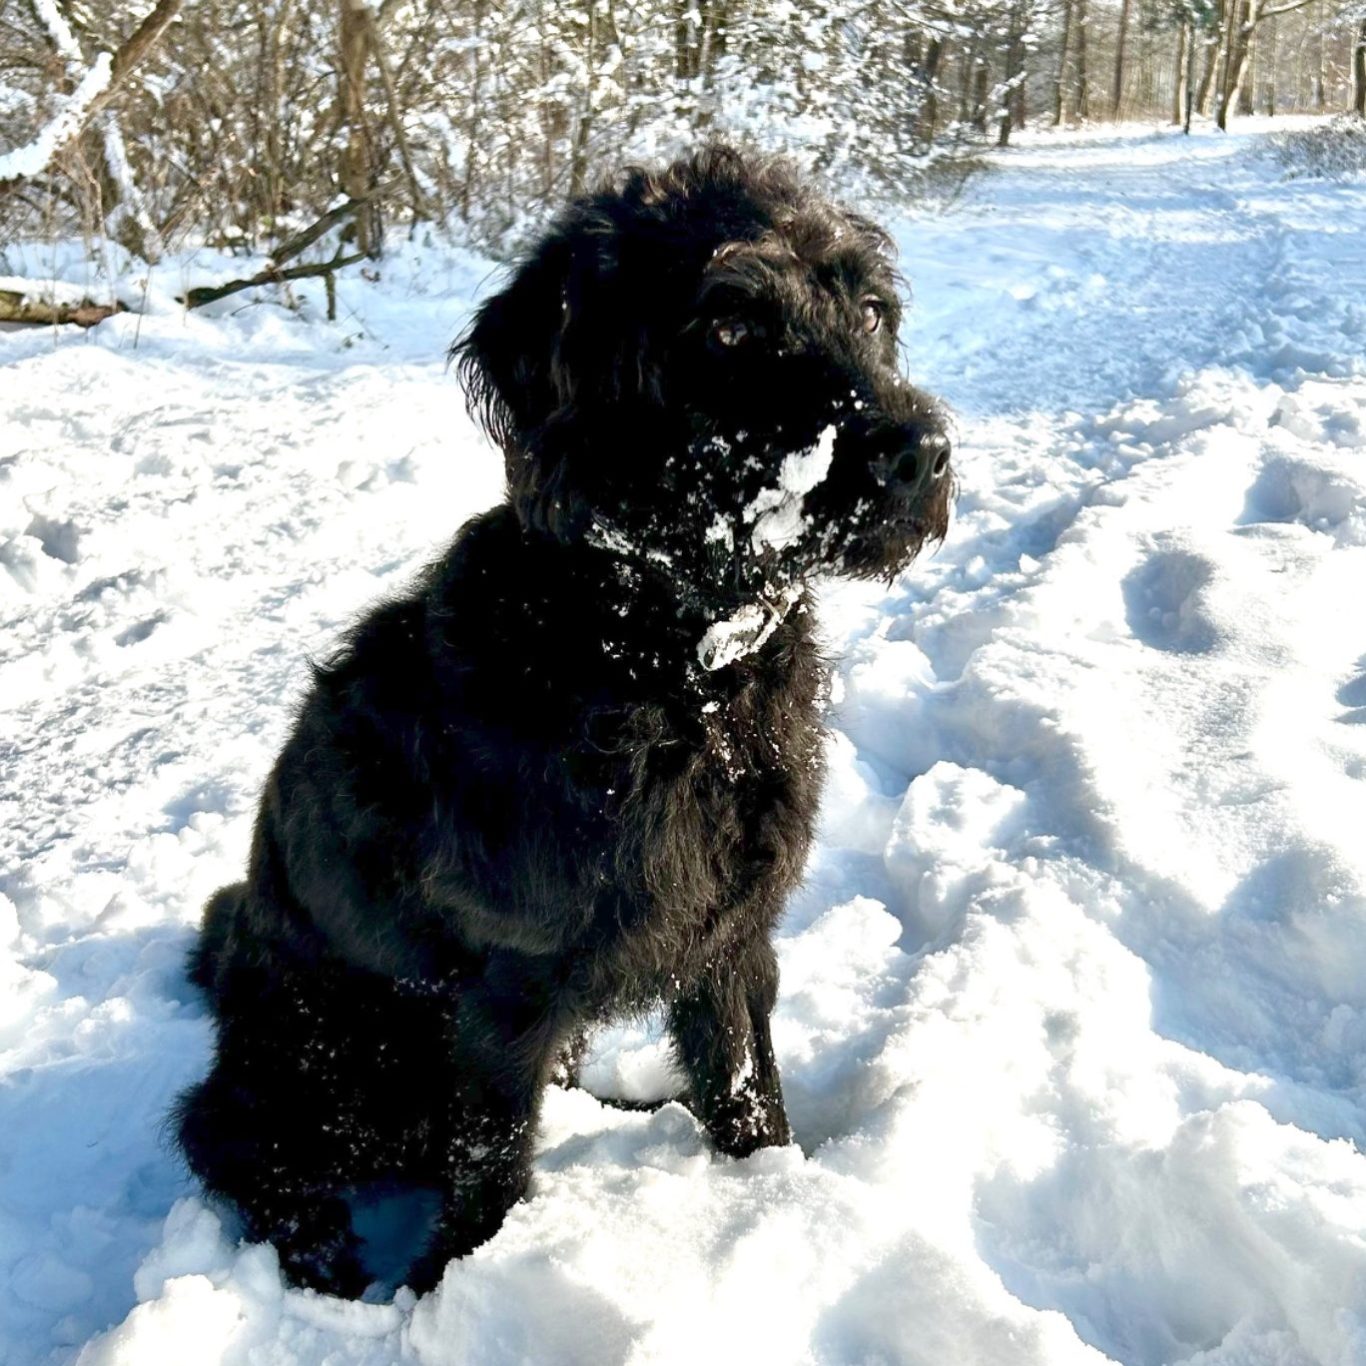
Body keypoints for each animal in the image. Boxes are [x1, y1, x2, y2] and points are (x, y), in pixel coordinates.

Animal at [173, 144, 950, 1294]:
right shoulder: (509, 989)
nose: (921, 452)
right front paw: (448, 1292)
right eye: (728, 325)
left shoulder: (732, 939)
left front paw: (775, 1190)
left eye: (868, 307)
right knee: (233, 1142)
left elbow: (745, 1090)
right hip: (330, 1050)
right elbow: (490, 1167)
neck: (673, 670)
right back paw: (329, 1268)